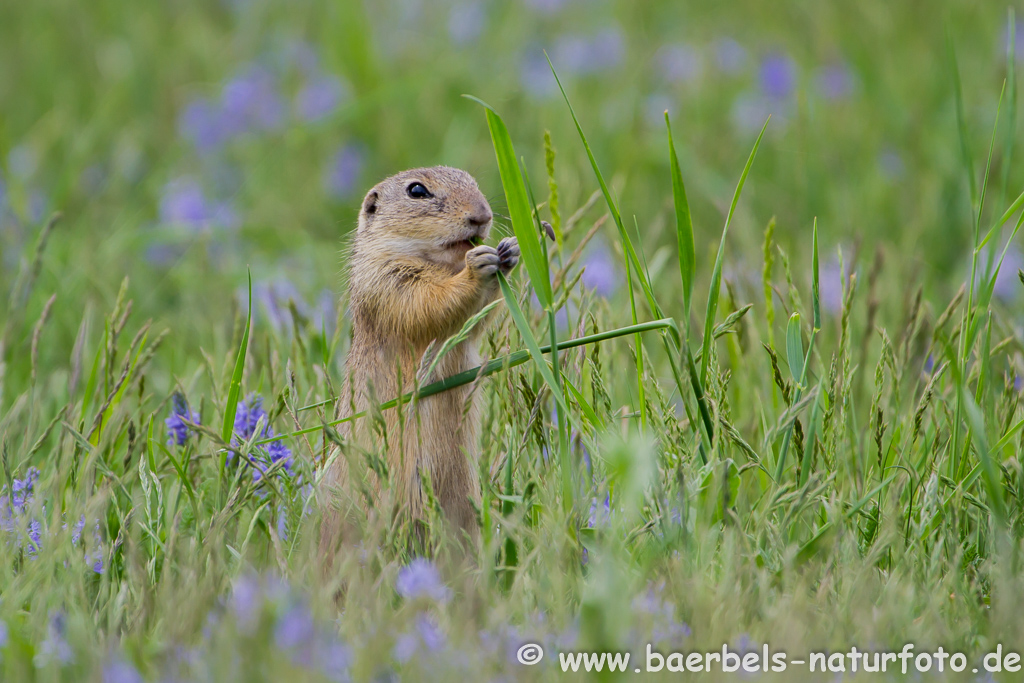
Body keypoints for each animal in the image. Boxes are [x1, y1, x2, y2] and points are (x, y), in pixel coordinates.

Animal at [319, 165, 520, 557]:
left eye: (472, 180)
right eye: (417, 191)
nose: (482, 216)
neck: (439, 261)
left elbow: (477, 320)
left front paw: (510, 251)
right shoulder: (386, 279)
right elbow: (425, 302)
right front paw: (477, 267)